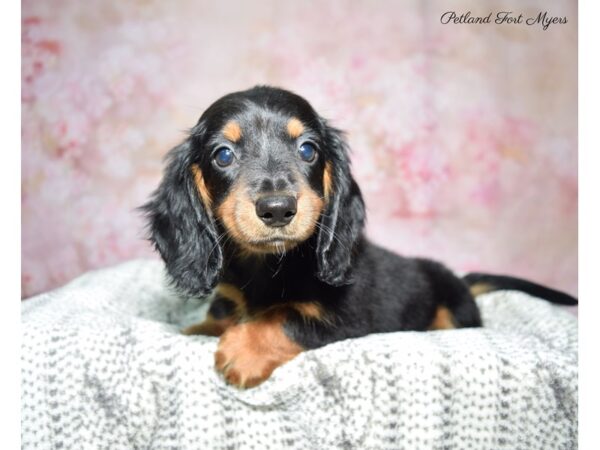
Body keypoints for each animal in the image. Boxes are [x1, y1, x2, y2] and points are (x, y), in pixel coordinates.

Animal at [143, 86, 580, 388]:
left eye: (307, 149)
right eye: (223, 155)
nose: (277, 209)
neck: (269, 265)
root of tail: (459, 279)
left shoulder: (347, 316)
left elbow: (285, 316)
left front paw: (243, 350)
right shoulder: (229, 298)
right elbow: (218, 316)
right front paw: (198, 331)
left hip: (455, 312)